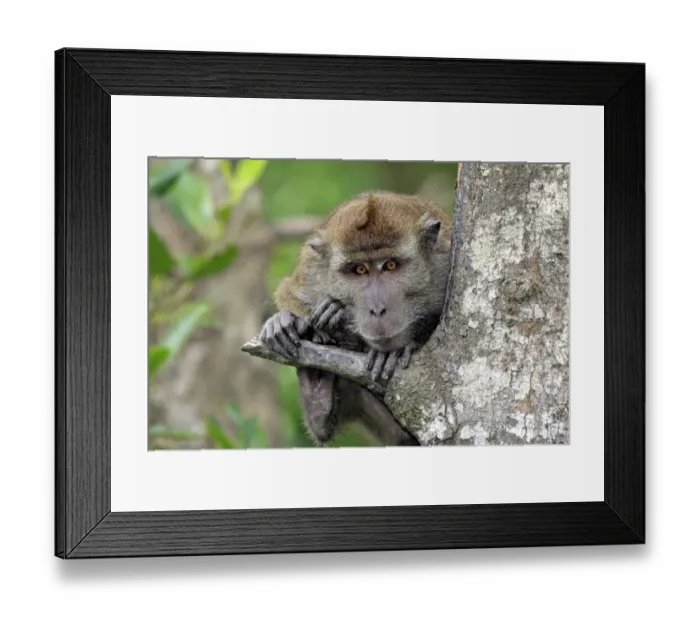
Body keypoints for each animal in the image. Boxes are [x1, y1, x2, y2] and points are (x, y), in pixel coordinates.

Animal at [259, 190, 452, 446]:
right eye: (359, 269)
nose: (377, 309)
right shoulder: (311, 272)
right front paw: (294, 320)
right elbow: (287, 293)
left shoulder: (444, 263)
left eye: (391, 265)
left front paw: (394, 351)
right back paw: (317, 393)